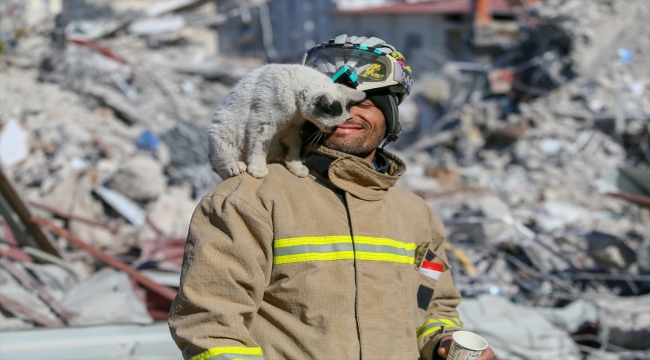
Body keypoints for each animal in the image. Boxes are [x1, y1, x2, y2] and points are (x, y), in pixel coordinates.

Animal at [208, 64, 364, 179]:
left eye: (338, 126)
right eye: (333, 126)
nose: (334, 130)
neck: (295, 111)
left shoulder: (292, 129)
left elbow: (294, 148)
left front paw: (296, 166)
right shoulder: (262, 124)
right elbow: (259, 148)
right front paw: (257, 169)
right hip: (221, 136)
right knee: (222, 168)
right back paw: (235, 166)